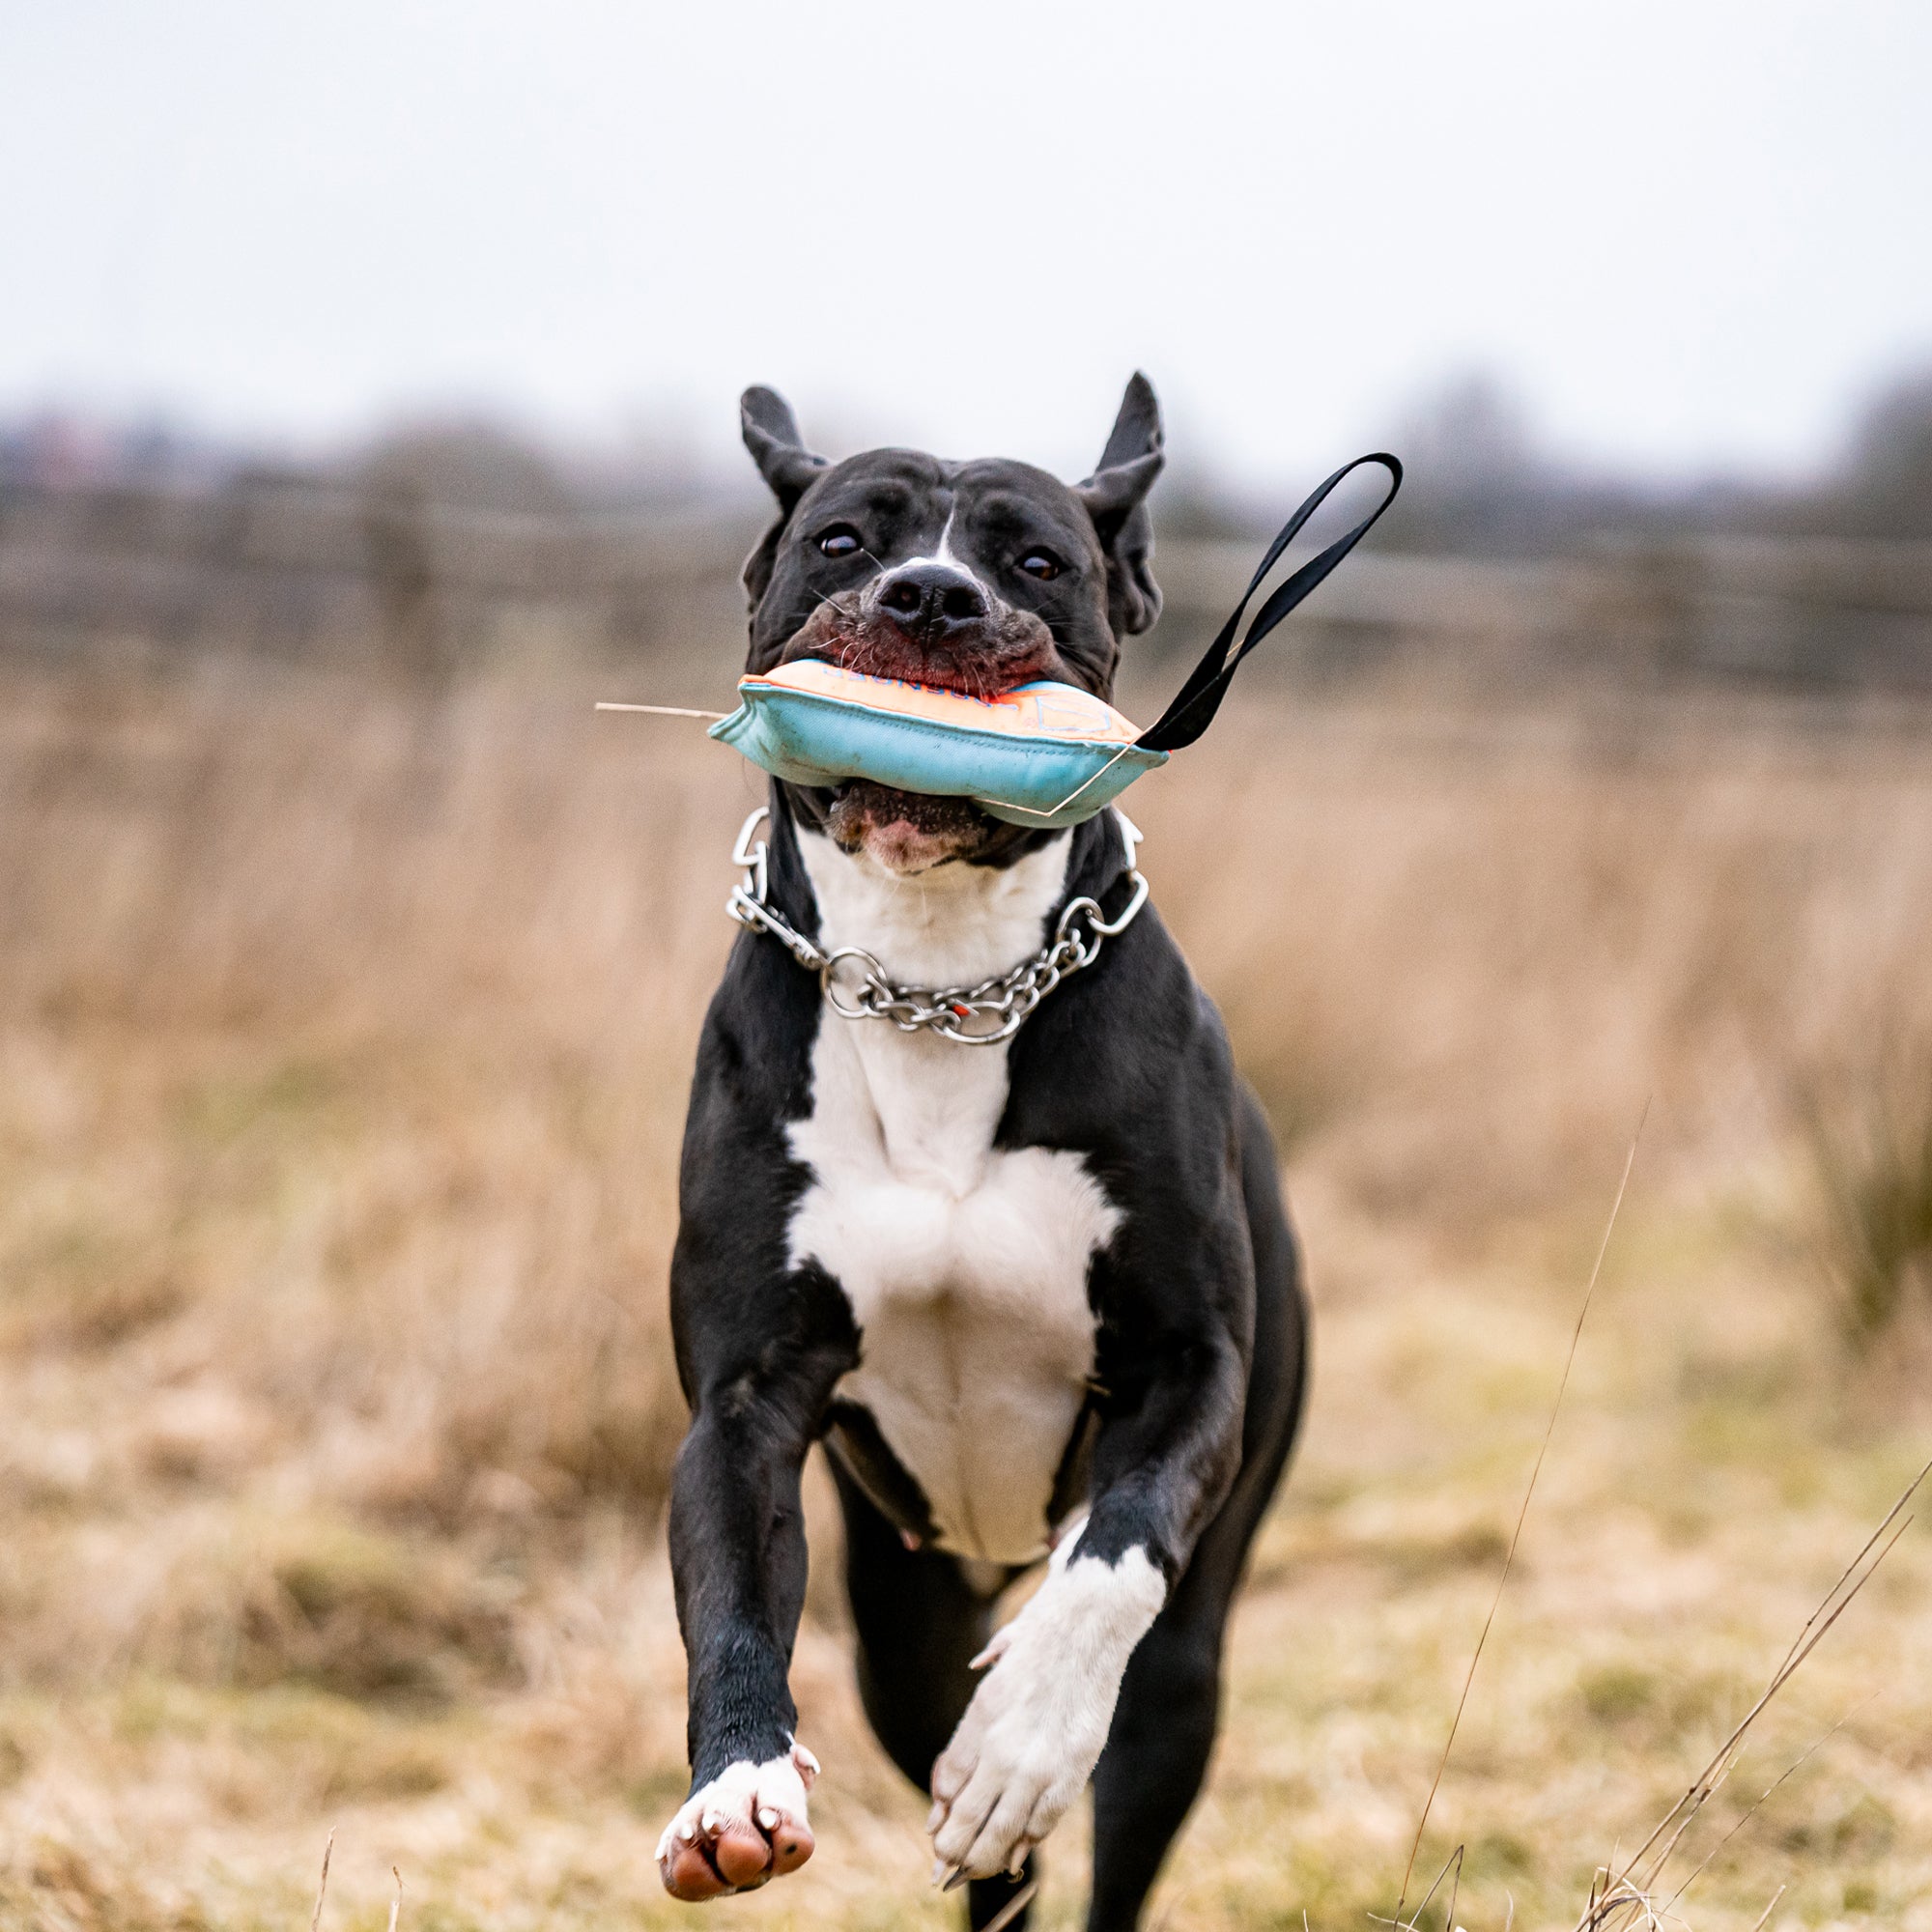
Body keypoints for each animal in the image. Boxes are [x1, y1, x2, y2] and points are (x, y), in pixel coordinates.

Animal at [657, 369, 1306, 1924]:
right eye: (843, 540)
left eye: (1036, 560)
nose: (933, 595)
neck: (936, 980)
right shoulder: (745, 1396)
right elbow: (727, 1591)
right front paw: (736, 1786)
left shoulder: (1191, 1367)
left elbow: (1109, 1561)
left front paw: (1018, 1741)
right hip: (903, 1625)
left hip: (1186, 1668)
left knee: (1125, 1767)